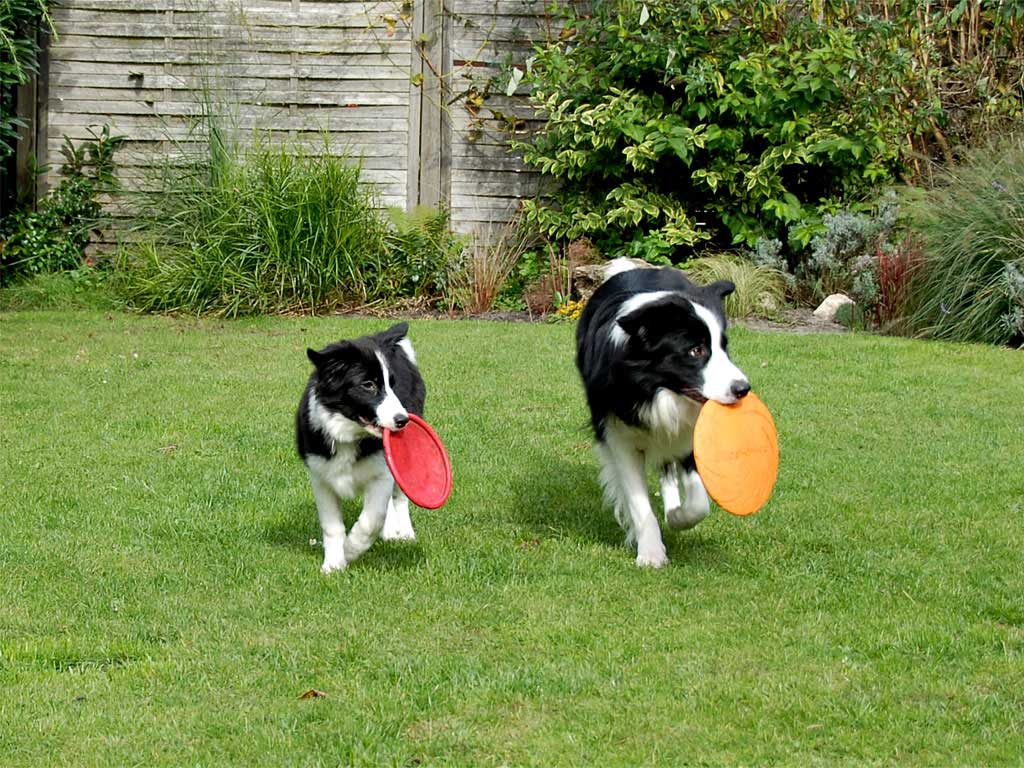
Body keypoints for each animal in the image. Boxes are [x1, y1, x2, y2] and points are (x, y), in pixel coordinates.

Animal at [294, 321, 425, 573]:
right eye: (368, 385)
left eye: (392, 385)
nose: (402, 420)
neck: (348, 433)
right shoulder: (320, 476)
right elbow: (332, 526)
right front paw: (333, 564)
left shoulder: (382, 472)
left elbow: (371, 520)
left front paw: (351, 549)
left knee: (399, 496)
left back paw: (403, 531)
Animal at [577, 262, 753, 569]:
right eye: (696, 350)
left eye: (724, 347)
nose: (743, 389)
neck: (656, 389)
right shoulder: (617, 434)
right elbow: (638, 500)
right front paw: (651, 553)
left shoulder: (689, 431)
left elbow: (698, 502)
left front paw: (678, 517)